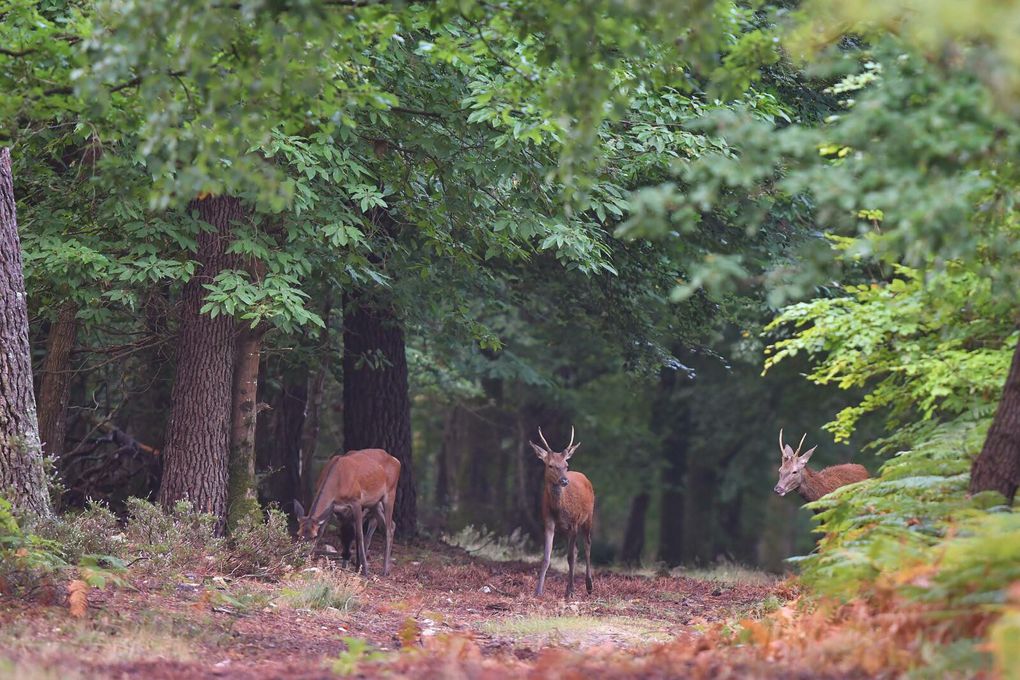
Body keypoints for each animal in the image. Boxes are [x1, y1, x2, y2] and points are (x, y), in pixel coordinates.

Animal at [293, 448, 399, 579]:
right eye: (298, 534)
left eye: (313, 536)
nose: (301, 554)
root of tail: (396, 460)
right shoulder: (333, 508)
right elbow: (330, 532)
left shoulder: (356, 501)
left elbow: (359, 535)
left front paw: (365, 571)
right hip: (374, 502)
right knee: (390, 525)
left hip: (390, 493)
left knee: (388, 529)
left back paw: (384, 570)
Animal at [530, 428, 595, 599]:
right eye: (551, 465)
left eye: (566, 465)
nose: (564, 481)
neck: (559, 511)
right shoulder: (548, 522)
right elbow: (546, 557)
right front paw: (538, 591)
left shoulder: (574, 522)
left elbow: (570, 557)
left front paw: (571, 591)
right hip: (567, 529)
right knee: (577, 549)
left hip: (588, 517)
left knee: (587, 545)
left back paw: (589, 585)